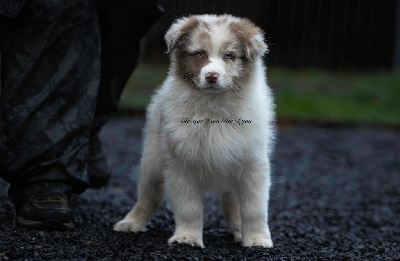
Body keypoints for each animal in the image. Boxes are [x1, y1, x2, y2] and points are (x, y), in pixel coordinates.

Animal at [112, 14, 276, 248]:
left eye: (229, 55)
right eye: (200, 54)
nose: (211, 76)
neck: (213, 108)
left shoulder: (253, 165)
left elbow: (254, 209)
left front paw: (257, 239)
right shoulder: (181, 164)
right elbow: (189, 208)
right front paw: (187, 238)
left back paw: (239, 231)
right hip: (153, 159)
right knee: (147, 195)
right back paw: (131, 222)